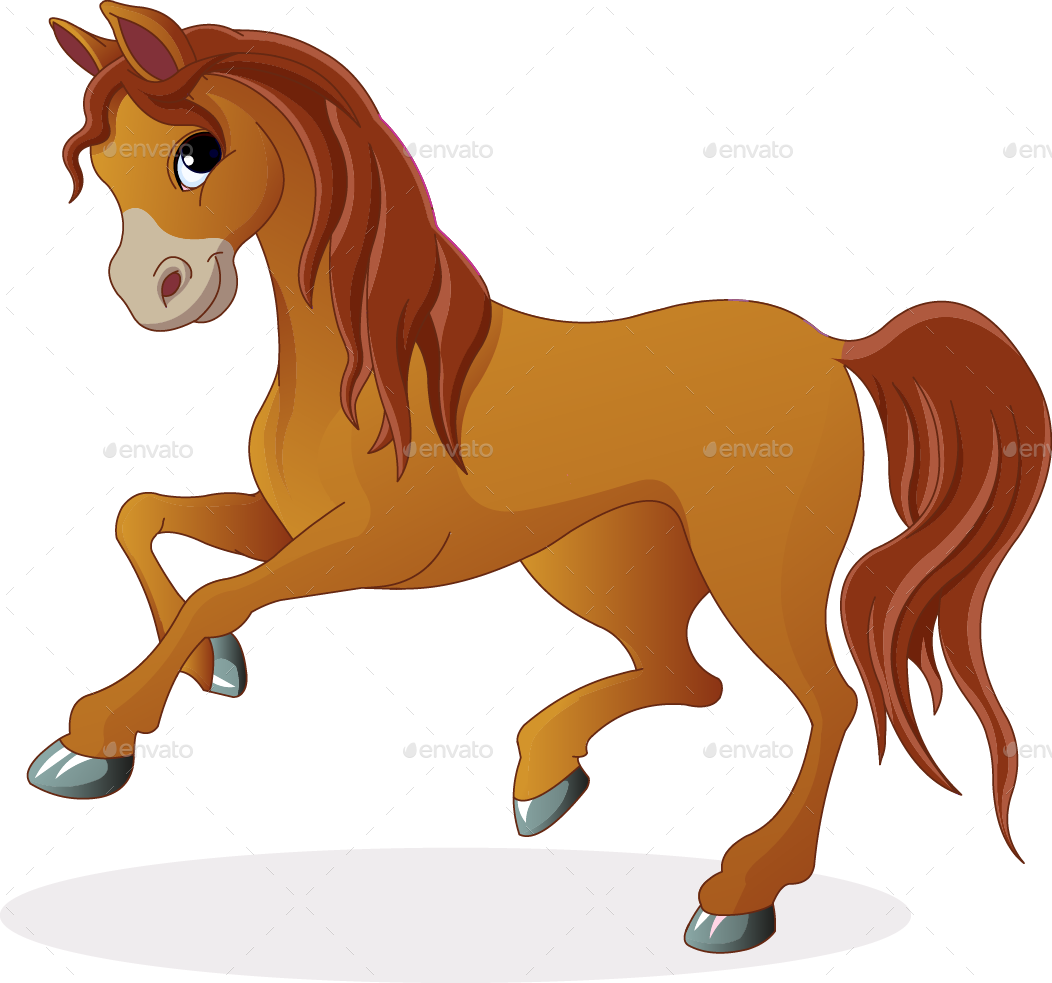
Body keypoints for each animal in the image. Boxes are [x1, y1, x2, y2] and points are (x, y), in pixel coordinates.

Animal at [33, 2, 1048, 954]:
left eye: (198, 153)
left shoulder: (378, 548)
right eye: (105, 165)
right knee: (689, 677)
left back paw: (740, 893)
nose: (152, 293)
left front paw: (91, 741)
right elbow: (144, 518)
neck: (363, 366)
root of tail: (838, 350)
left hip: (753, 565)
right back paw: (547, 774)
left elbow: (219, 588)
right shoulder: (291, 525)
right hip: (598, 562)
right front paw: (212, 668)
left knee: (825, 699)